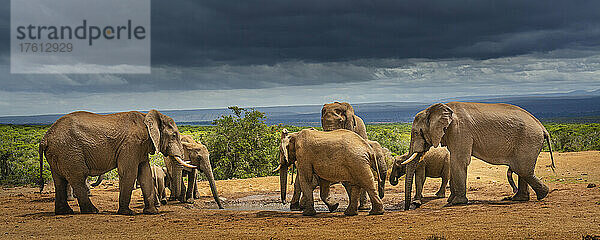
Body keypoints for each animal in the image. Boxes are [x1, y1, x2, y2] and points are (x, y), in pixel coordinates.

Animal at [39, 109, 195, 215]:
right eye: (174, 135)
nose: (172, 201)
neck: (146, 117)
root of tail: (45, 138)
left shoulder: (141, 147)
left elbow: (144, 173)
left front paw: (152, 212)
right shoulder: (131, 144)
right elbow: (129, 172)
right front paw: (128, 213)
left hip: (58, 153)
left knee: (59, 180)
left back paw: (65, 212)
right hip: (69, 151)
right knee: (77, 177)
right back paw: (92, 211)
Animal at [396, 101, 556, 210]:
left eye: (417, 132)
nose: (409, 207)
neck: (437, 108)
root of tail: (543, 128)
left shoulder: (459, 130)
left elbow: (459, 161)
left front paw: (456, 202)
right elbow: (454, 161)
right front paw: (451, 200)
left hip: (529, 139)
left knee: (522, 169)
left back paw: (542, 194)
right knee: (521, 170)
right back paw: (519, 199)